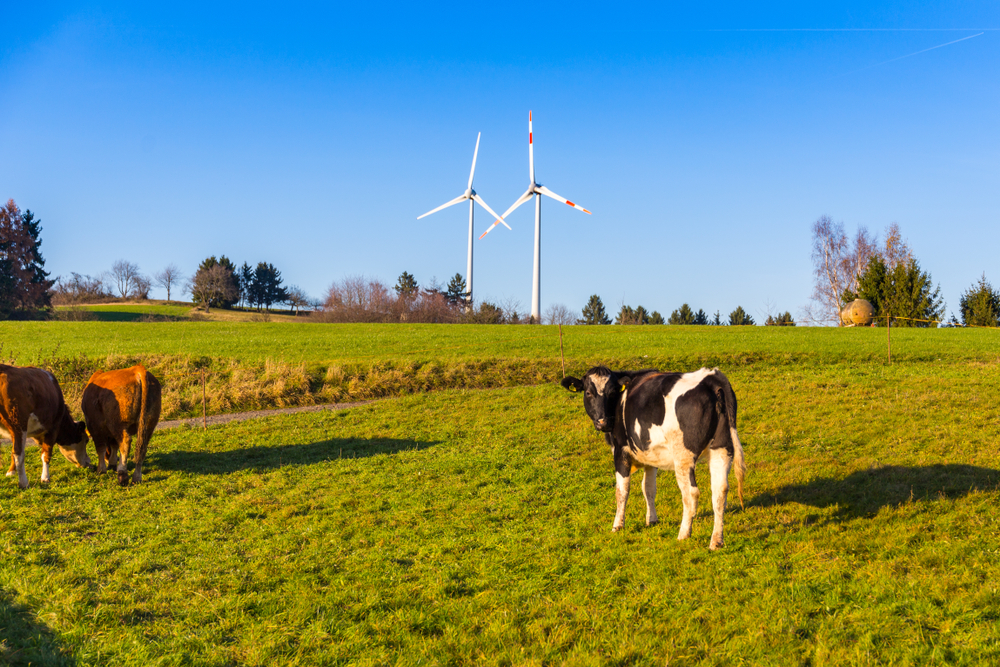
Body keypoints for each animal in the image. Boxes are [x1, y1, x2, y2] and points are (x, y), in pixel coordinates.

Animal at [560, 368, 748, 552]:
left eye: (612, 392)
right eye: (589, 392)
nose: (602, 422)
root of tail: (711, 376)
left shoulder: (621, 451)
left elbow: (622, 491)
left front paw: (617, 525)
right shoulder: (650, 456)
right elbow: (648, 488)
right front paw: (652, 520)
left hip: (683, 456)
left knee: (691, 493)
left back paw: (683, 534)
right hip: (722, 449)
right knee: (720, 491)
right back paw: (716, 541)